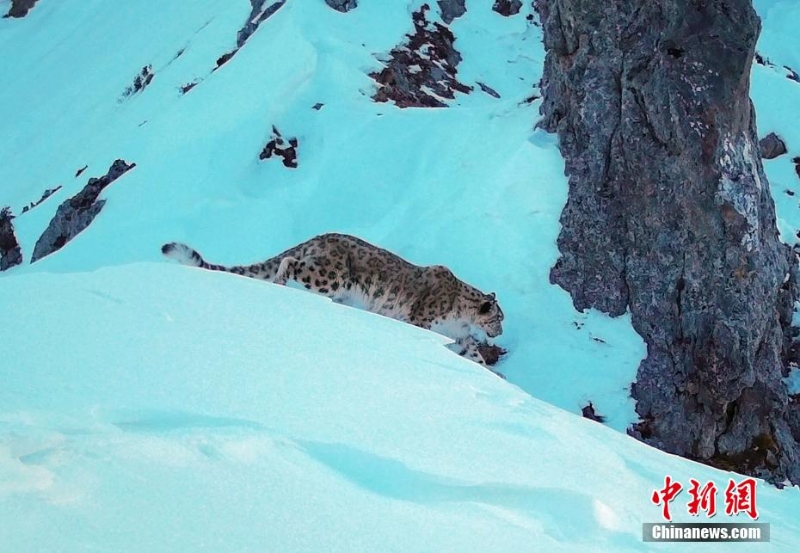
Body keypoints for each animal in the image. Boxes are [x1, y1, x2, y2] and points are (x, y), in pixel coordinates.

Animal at [159, 231, 504, 368]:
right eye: (499, 317)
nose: (500, 332)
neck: (461, 321)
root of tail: (320, 237)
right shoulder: (422, 322)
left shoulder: (461, 338)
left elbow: (474, 356)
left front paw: (495, 374)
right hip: (329, 276)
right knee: (292, 264)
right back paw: (281, 282)